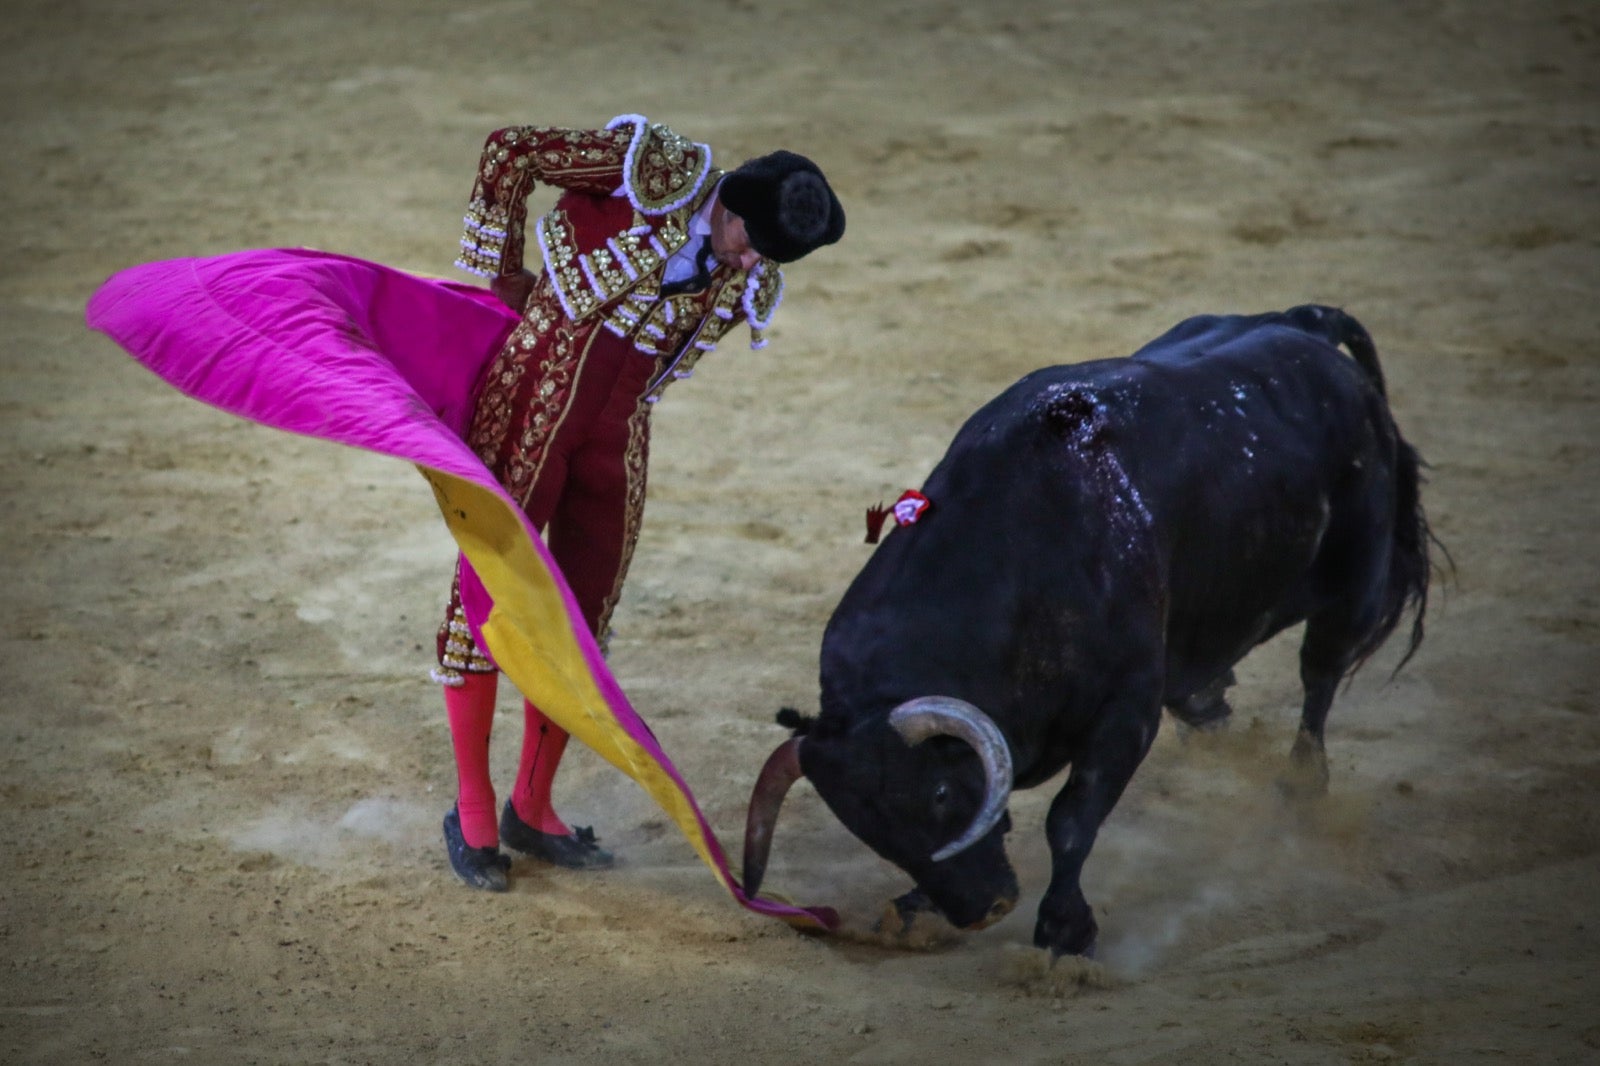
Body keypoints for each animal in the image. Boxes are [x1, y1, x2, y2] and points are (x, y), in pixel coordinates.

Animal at [742, 305, 1433, 953]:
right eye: (867, 828)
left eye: (938, 794)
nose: (982, 910)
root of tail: (1304, 325)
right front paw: (914, 910)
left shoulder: (1125, 714)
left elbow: (1070, 820)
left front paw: (1063, 932)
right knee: (1214, 692)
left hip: (1354, 584)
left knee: (1320, 676)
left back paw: (1300, 792)